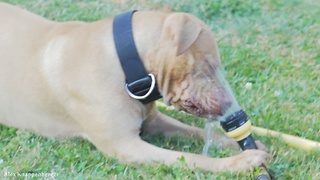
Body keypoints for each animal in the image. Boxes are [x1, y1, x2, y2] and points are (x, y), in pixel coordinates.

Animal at [0, 2, 270, 172]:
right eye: (211, 66)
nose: (230, 106)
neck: (126, 63)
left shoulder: (153, 120)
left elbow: (196, 132)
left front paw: (240, 144)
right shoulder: (126, 146)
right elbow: (190, 158)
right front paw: (241, 162)